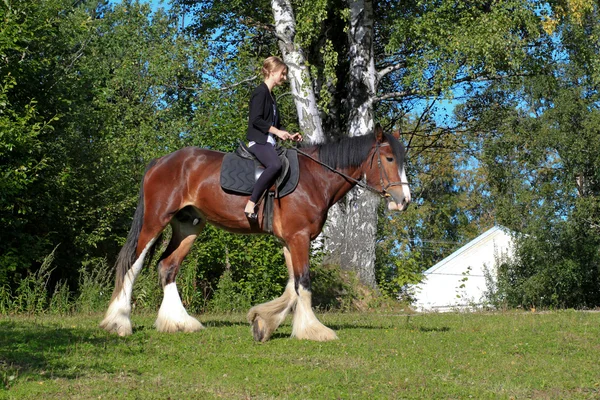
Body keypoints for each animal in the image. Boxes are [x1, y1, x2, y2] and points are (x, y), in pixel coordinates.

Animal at [102, 126, 412, 340]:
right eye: (388, 158)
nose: (404, 200)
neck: (315, 178)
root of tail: (160, 161)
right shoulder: (298, 238)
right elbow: (303, 283)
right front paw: (313, 330)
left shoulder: (289, 240)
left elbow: (292, 286)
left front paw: (263, 322)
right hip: (155, 220)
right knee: (133, 264)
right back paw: (119, 323)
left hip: (188, 225)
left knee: (167, 266)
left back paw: (179, 322)